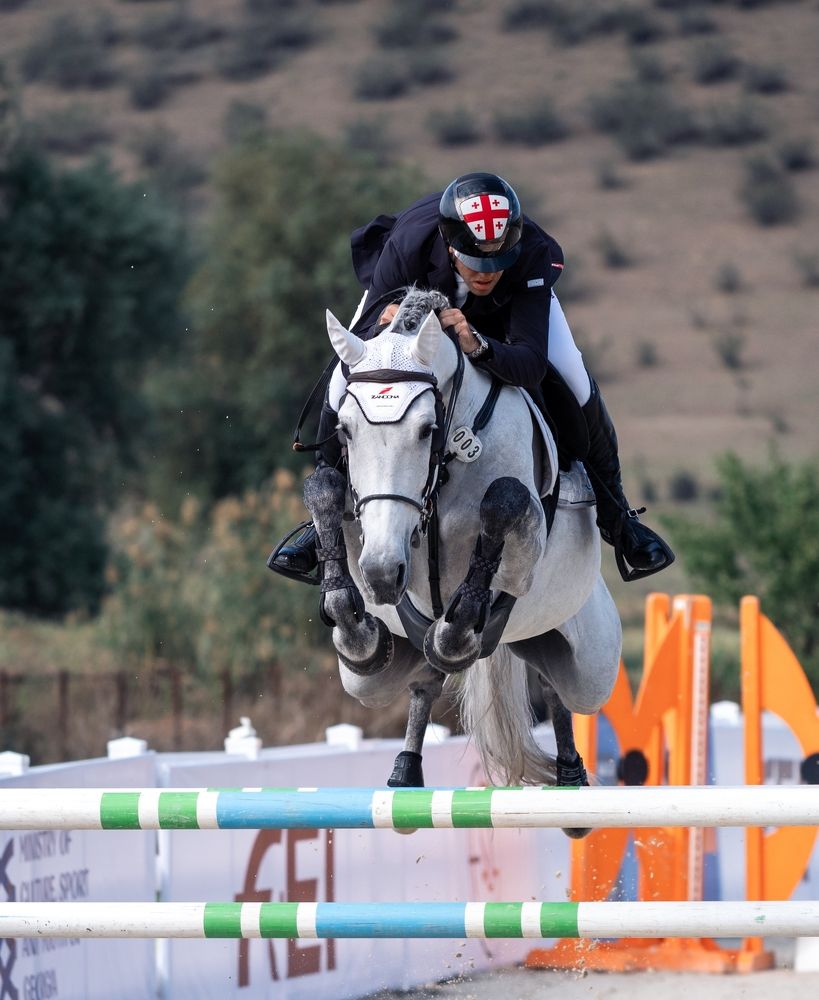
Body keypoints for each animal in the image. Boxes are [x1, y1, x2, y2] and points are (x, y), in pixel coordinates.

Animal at [303, 288, 622, 833]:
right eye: (344, 431)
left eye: (427, 429)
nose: (382, 574)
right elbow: (322, 488)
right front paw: (356, 625)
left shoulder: (524, 537)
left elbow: (505, 502)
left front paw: (458, 629)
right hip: (371, 679)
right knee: (420, 680)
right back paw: (405, 773)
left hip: (591, 667)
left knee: (561, 692)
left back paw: (571, 784)